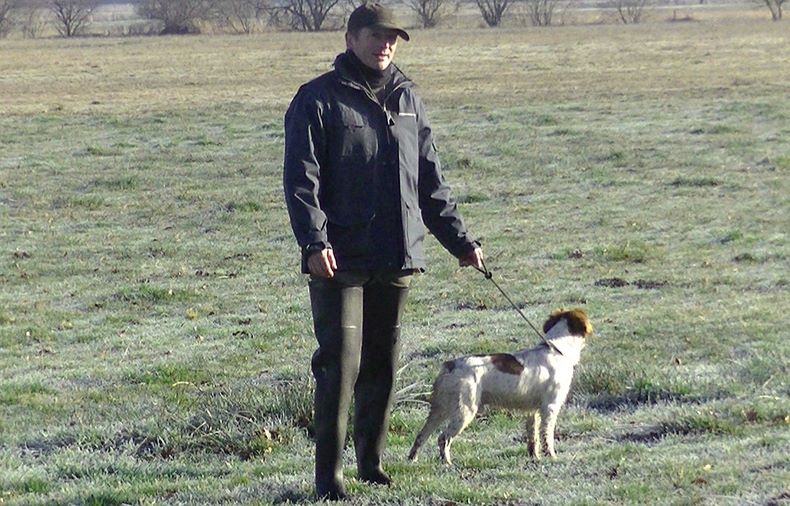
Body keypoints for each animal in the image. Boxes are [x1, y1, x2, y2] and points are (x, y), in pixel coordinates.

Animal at [408, 308, 593, 465]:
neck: (557, 349)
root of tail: (450, 365)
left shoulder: (533, 411)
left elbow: (533, 437)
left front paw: (535, 458)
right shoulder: (550, 407)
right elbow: (547, 436)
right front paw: (552, 457)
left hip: (439, 410)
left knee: (421, 435)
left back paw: (412, 460)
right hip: (464, 411)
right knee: (443, 438)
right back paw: (447, 463)